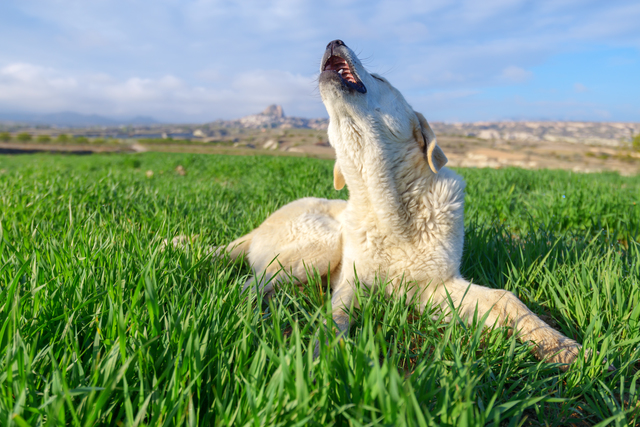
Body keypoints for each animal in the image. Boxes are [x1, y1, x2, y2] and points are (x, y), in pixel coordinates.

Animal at [212, 39, 584, 368]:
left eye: (379, 78)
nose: (334, 41)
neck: (391, 212)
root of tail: (258, 226)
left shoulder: (437, 288)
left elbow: (508, 299)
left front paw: (562, 346)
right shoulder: (351, 283)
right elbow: (336, 319)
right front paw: (322, 358)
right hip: (323, 243)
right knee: (249, 284)